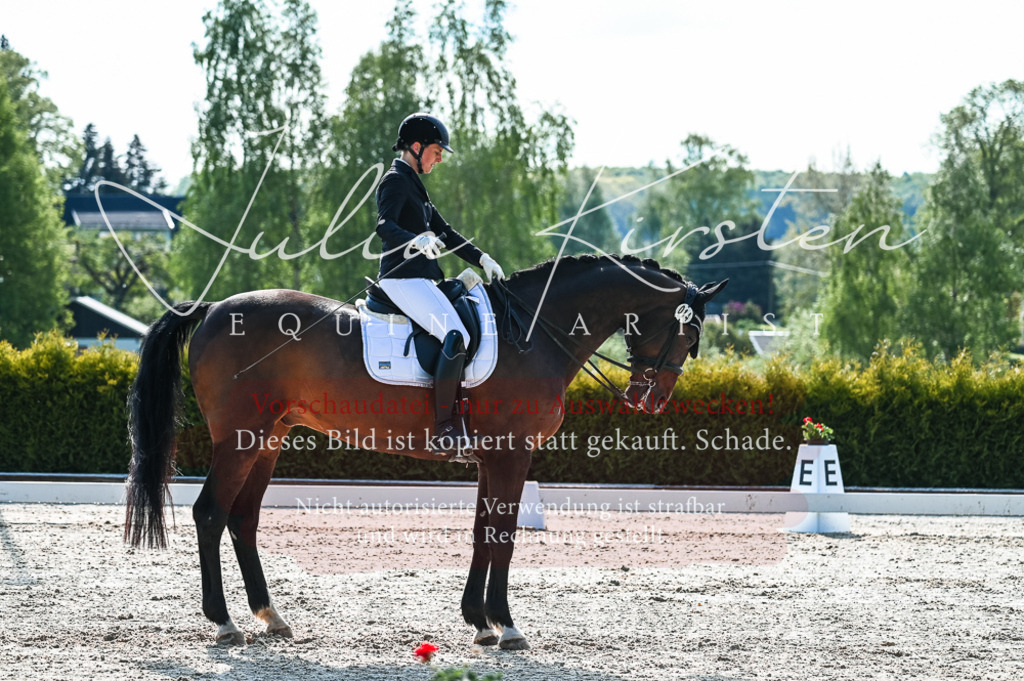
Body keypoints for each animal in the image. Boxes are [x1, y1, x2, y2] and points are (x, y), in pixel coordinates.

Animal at [123, 253, 727, 649]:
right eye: (688, 335)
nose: (651, 400)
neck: (535, 332)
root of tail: (213, 308)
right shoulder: (512, 455)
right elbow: (504, 537)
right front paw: (507, 626)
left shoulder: (490, 458)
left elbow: (483, 533)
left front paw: (479, 622)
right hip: (239, 439)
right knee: (210, 513)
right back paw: (224, 623)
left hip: (268, 439)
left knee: (243, 519)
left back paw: (271, 617)